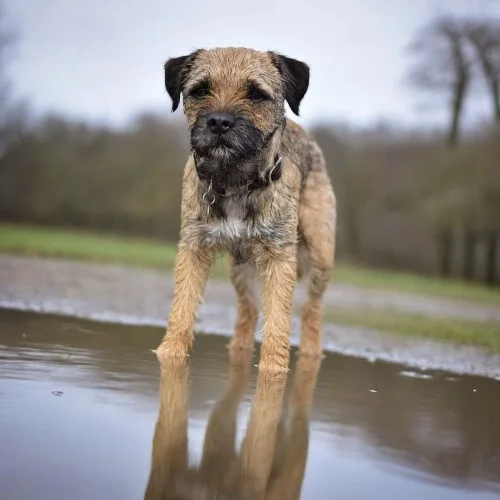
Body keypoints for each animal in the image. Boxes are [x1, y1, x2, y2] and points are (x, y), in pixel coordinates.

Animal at [156, 47, 336, 376]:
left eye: (255, 94)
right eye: (201, 90)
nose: (218, 122)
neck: (235, 181)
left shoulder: (279, 257)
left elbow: (278, 320)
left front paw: (274, 371)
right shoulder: (193, 247)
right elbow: (183, 306)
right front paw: (169, 355)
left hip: (320, 253)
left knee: (312, 308)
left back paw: (311, 355)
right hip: (240, 269)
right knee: (248, 309)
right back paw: (237, 351)